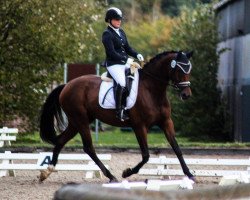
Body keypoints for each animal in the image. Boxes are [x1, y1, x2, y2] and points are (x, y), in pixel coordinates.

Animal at [39, 50, 195, 183]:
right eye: (179, 70)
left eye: (189, 69)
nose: (186, 95)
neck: (152, 90)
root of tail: (67, 85)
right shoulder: (139, 126)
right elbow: (146, 155)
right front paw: (127, 172)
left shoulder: (166, 122)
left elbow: (176, 148)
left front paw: (190, 174)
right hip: (81, 120)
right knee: (88, 148)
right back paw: (111, 176)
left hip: (77, 121)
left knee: (61, 141)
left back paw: (47, 171)